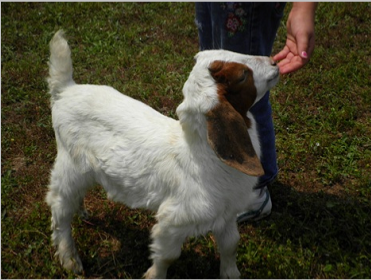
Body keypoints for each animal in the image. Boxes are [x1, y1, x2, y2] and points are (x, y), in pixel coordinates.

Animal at [45, 30, 280, 278]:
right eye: (243, 76)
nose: (274, 62)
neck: (200, 157)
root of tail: (65, 90)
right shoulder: (173, 220)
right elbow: (168, 256)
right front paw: (153, 275)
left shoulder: (226, 214)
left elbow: (230, 245)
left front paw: (230, 274)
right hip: (70, 163)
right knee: (59, 208)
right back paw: (70, 260)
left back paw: (81, 212)